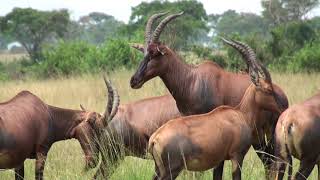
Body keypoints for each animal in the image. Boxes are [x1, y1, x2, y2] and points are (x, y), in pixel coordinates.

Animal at [129, 11, 288, 178]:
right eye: (144, 52)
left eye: (154, 54)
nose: (134, 80)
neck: (192, 80)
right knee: (270, 161)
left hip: (266, 135)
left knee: (272, 161)